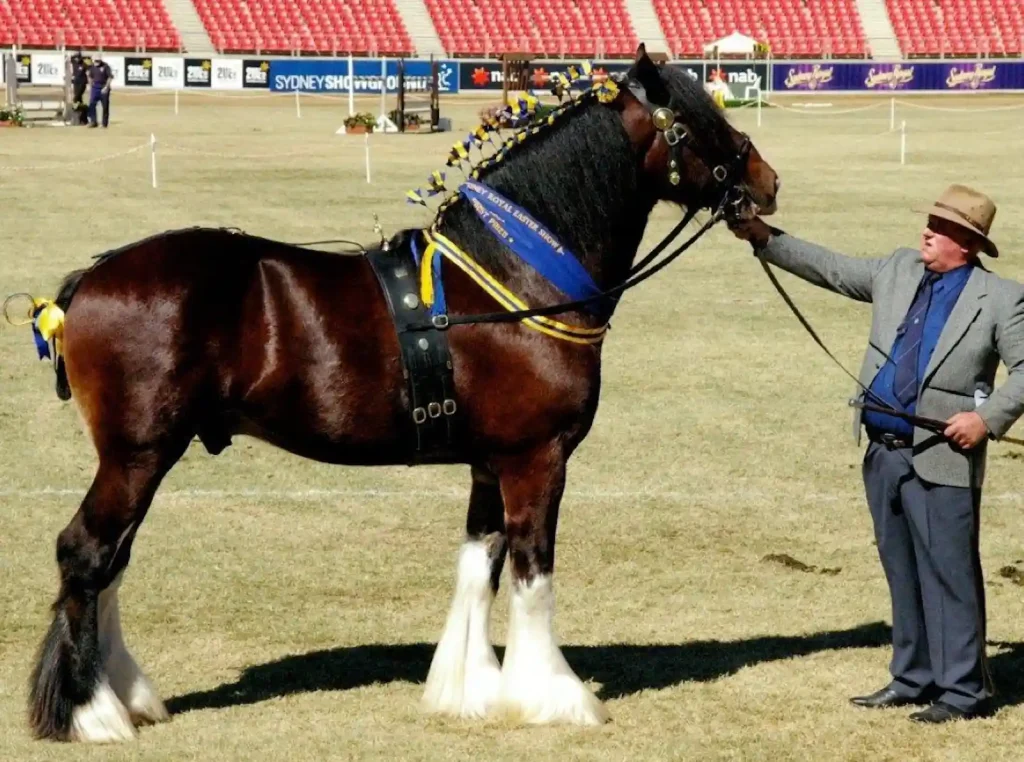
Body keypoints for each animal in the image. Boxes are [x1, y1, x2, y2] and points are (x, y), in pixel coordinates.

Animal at [25, 44, 774, 741]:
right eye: (698, 123)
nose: (765, 181)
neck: (516, 277)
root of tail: (85, 284)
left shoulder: (489, 464)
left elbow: (480, 565)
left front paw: (470, 690)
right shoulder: (537, 460)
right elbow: (533, 574)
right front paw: (555, 699)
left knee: (113, 561)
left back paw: (126, 697)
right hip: (138, 455)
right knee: (86, 553)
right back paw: (93, 712)